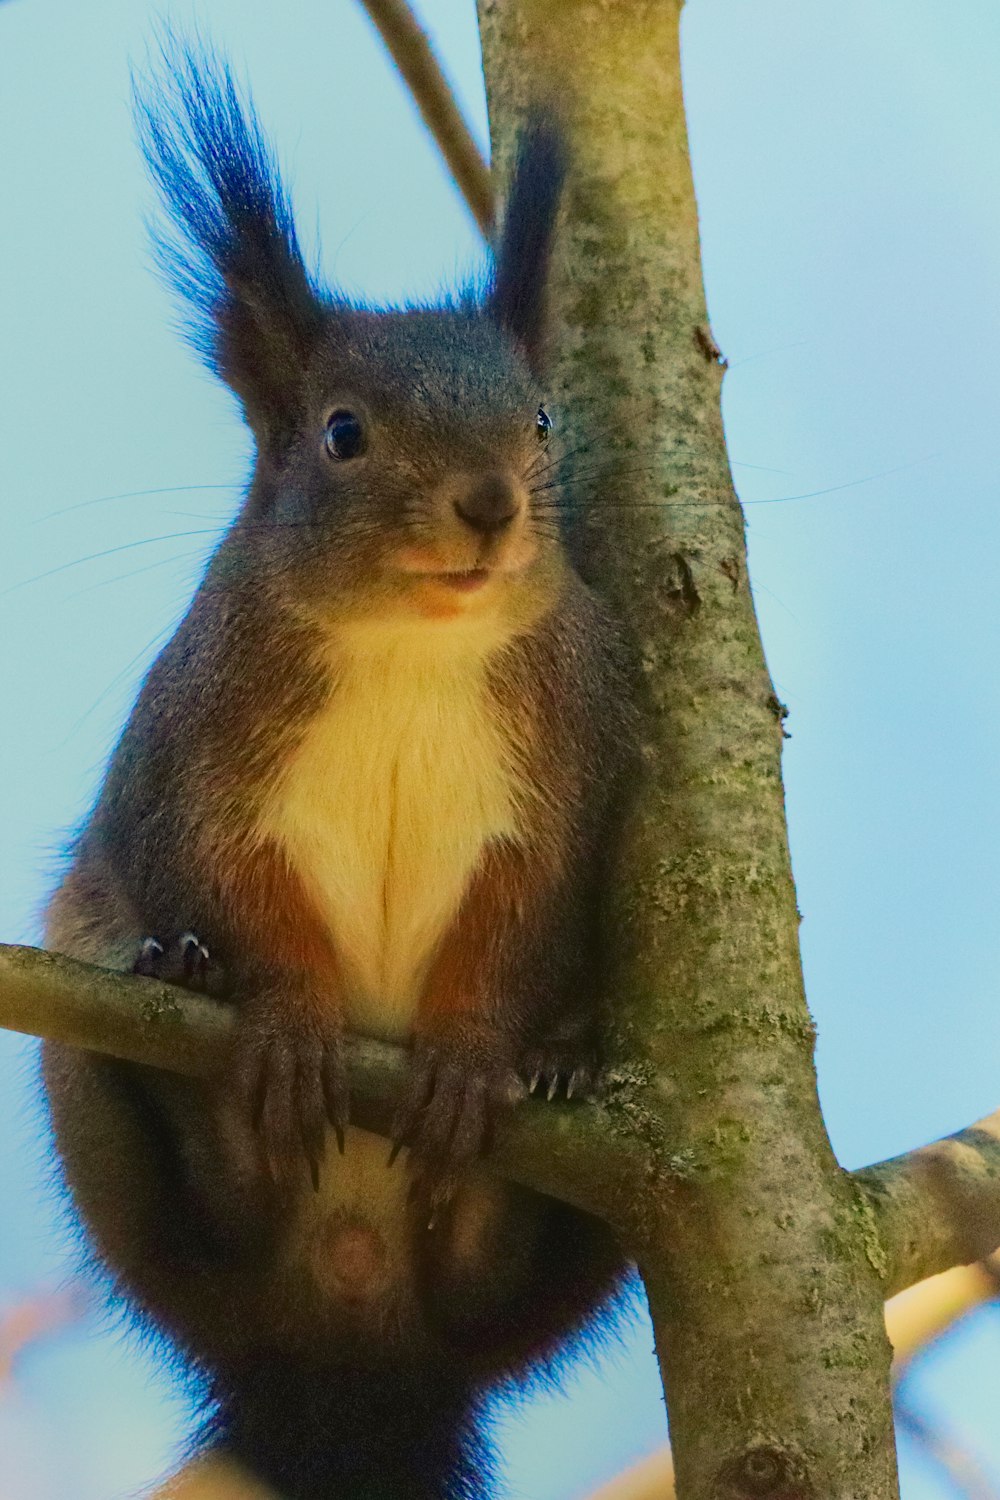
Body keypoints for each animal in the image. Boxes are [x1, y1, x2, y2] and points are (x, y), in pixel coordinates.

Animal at [41, 43, 632, 1500]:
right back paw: (203, 1068)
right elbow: (214, 872)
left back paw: (550, 1088)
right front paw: (291, 1022)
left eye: (544, 419)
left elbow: (529, 920)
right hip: (97, 1097)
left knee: (483, 1271)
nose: (490, 503)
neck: (412, 647)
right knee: (217, 1198)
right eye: (341, 433)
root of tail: (349, 1345)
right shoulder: (191, 749)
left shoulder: (571, 777)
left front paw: (478, 1059)